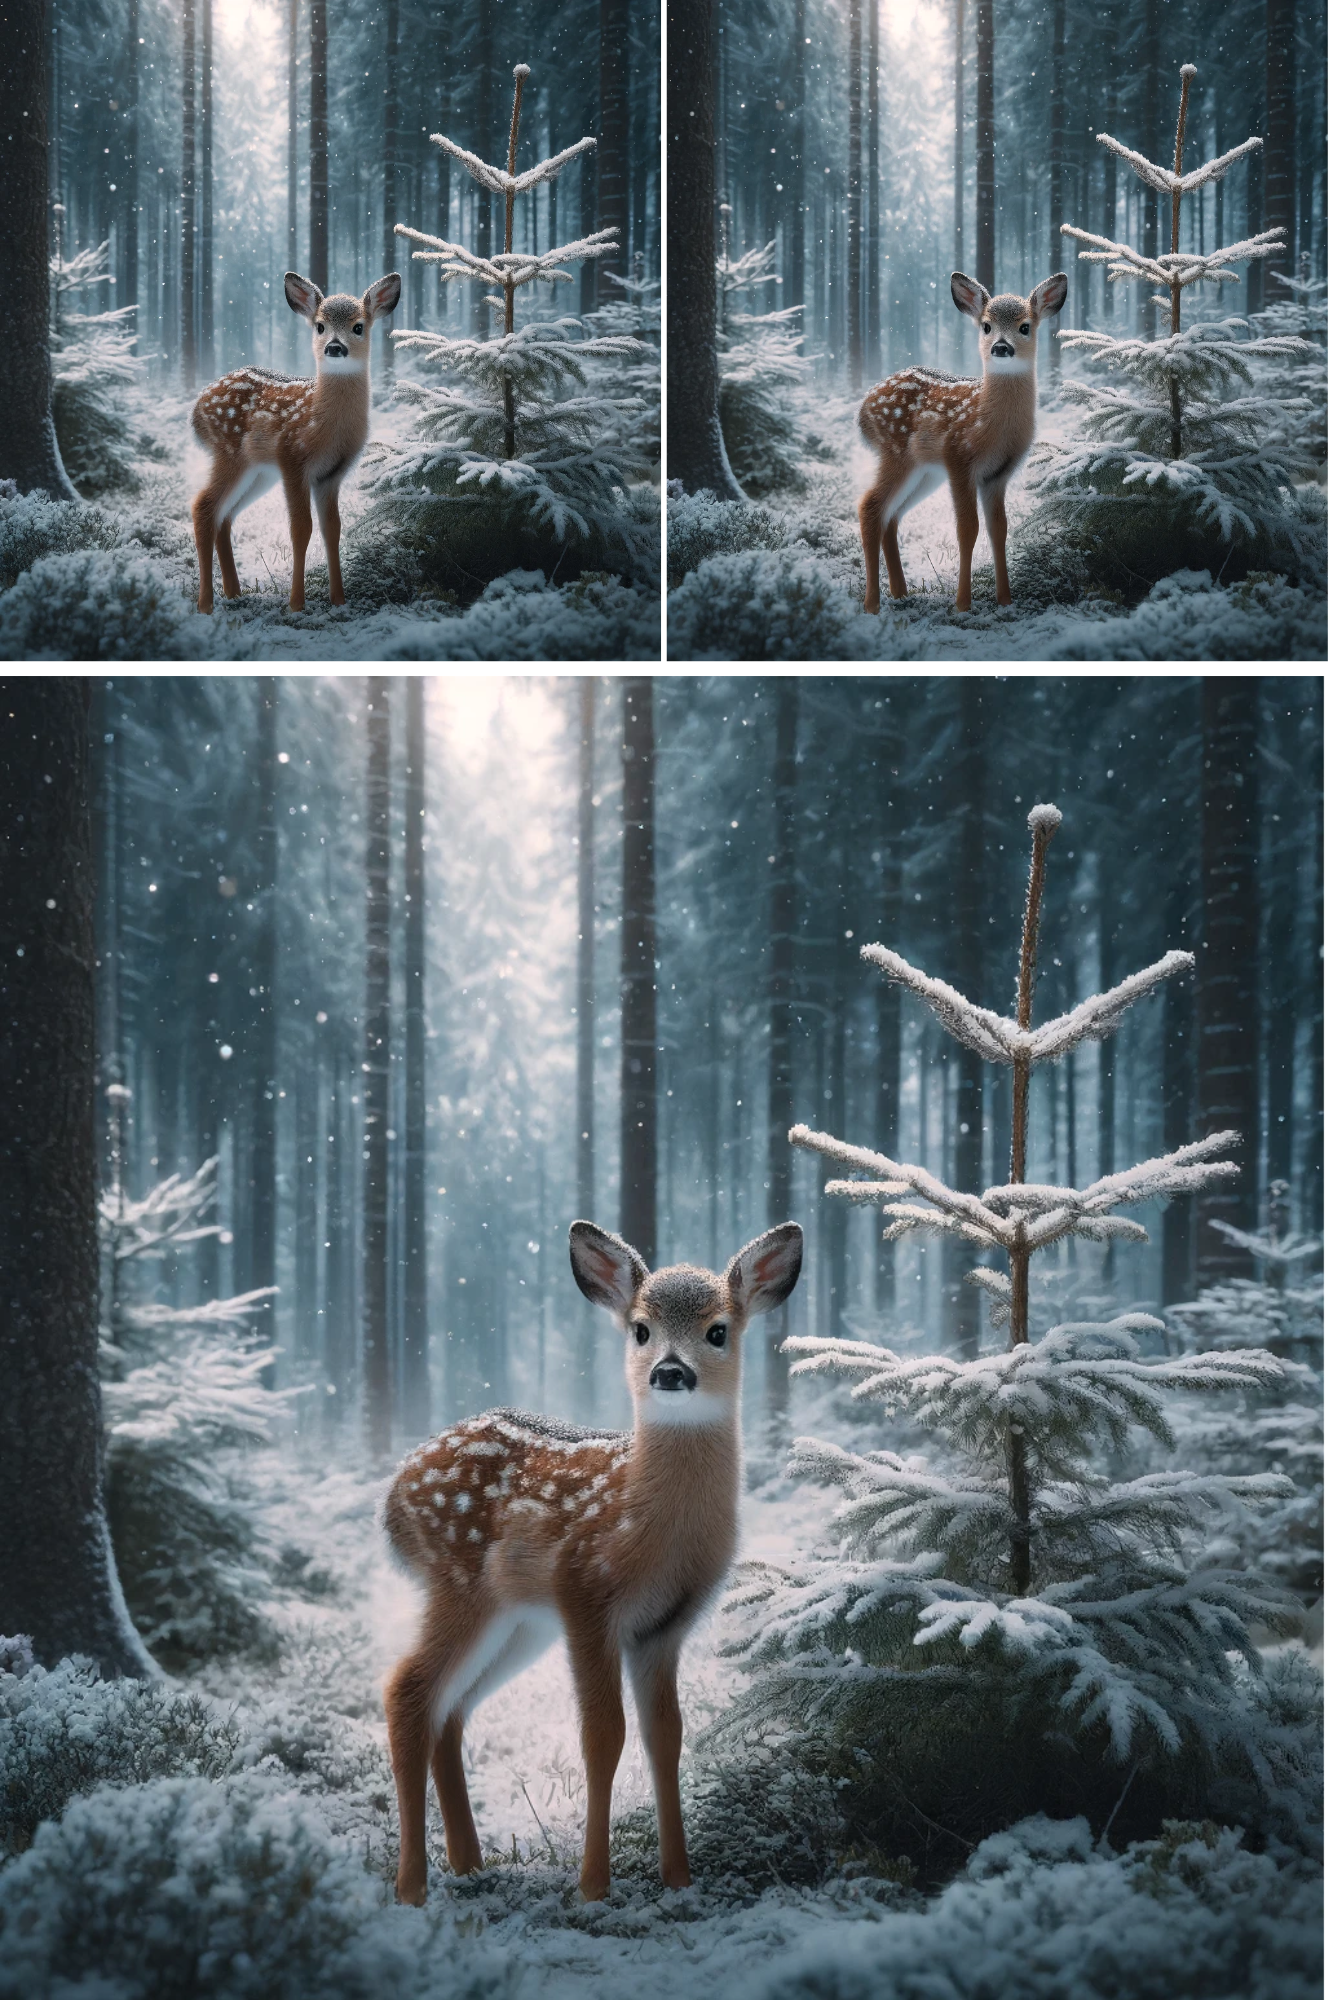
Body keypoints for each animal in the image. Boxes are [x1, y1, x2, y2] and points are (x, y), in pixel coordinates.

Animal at [188, 270, 401, 614]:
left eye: (358, 326)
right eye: (320, 326)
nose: (334, 347)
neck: (324, 427)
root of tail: (195, 410)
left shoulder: (332, 474)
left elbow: (332, 529)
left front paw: (339, 600)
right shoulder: (292, 458)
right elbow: (301, 529)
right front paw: (296, 603)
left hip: (259, 472)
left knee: (225, 515)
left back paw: (235, 593)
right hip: (230, 453)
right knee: (203, 506)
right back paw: (206, 603)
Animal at [381, 1217, 804, 1907]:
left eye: (718, 1330)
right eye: (641, 1328)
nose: (670, 1371)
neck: (652, 1533)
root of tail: (390, 1499)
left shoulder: (666, 1626)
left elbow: (666, 1736)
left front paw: (679, 1879)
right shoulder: (584, 1594)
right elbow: (603, 1737)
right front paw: (593, 1885)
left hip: (519, 1622)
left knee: (451, 1708)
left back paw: (471, 1866)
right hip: (461, 1584)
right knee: (407, 1690)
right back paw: (413, 1885)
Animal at [856, 270, 1068, 615]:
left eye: (1025, 326)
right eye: (986, 326)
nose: (1001, 347)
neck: (991, 428)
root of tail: (861, 411)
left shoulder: (999, 474)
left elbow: (999, 529)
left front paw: (1005, 600)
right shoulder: (958, 459)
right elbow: (967, 530)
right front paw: (962, 603)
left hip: (926, 472)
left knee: (892, 515)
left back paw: (901, 594)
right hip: (896, 454)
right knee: (870, 506)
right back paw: (872, 603)